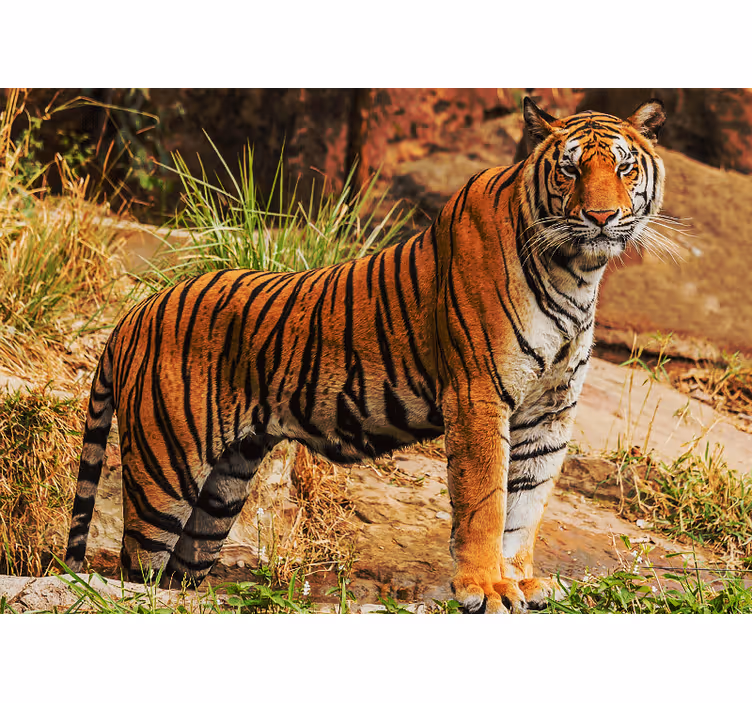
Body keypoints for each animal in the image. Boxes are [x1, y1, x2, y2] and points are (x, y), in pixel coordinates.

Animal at [65, 97, 667, 613]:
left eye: (624, 169)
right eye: (569, 170)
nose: (601, 217)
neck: (576, 272)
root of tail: (134, 313)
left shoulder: (550, 410)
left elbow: (526, 504)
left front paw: (520, 581)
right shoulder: (479, 396)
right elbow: (486, 503)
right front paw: (486, 588)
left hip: (221, 491)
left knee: (178, 573)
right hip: (163, 473)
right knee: (134, 569)